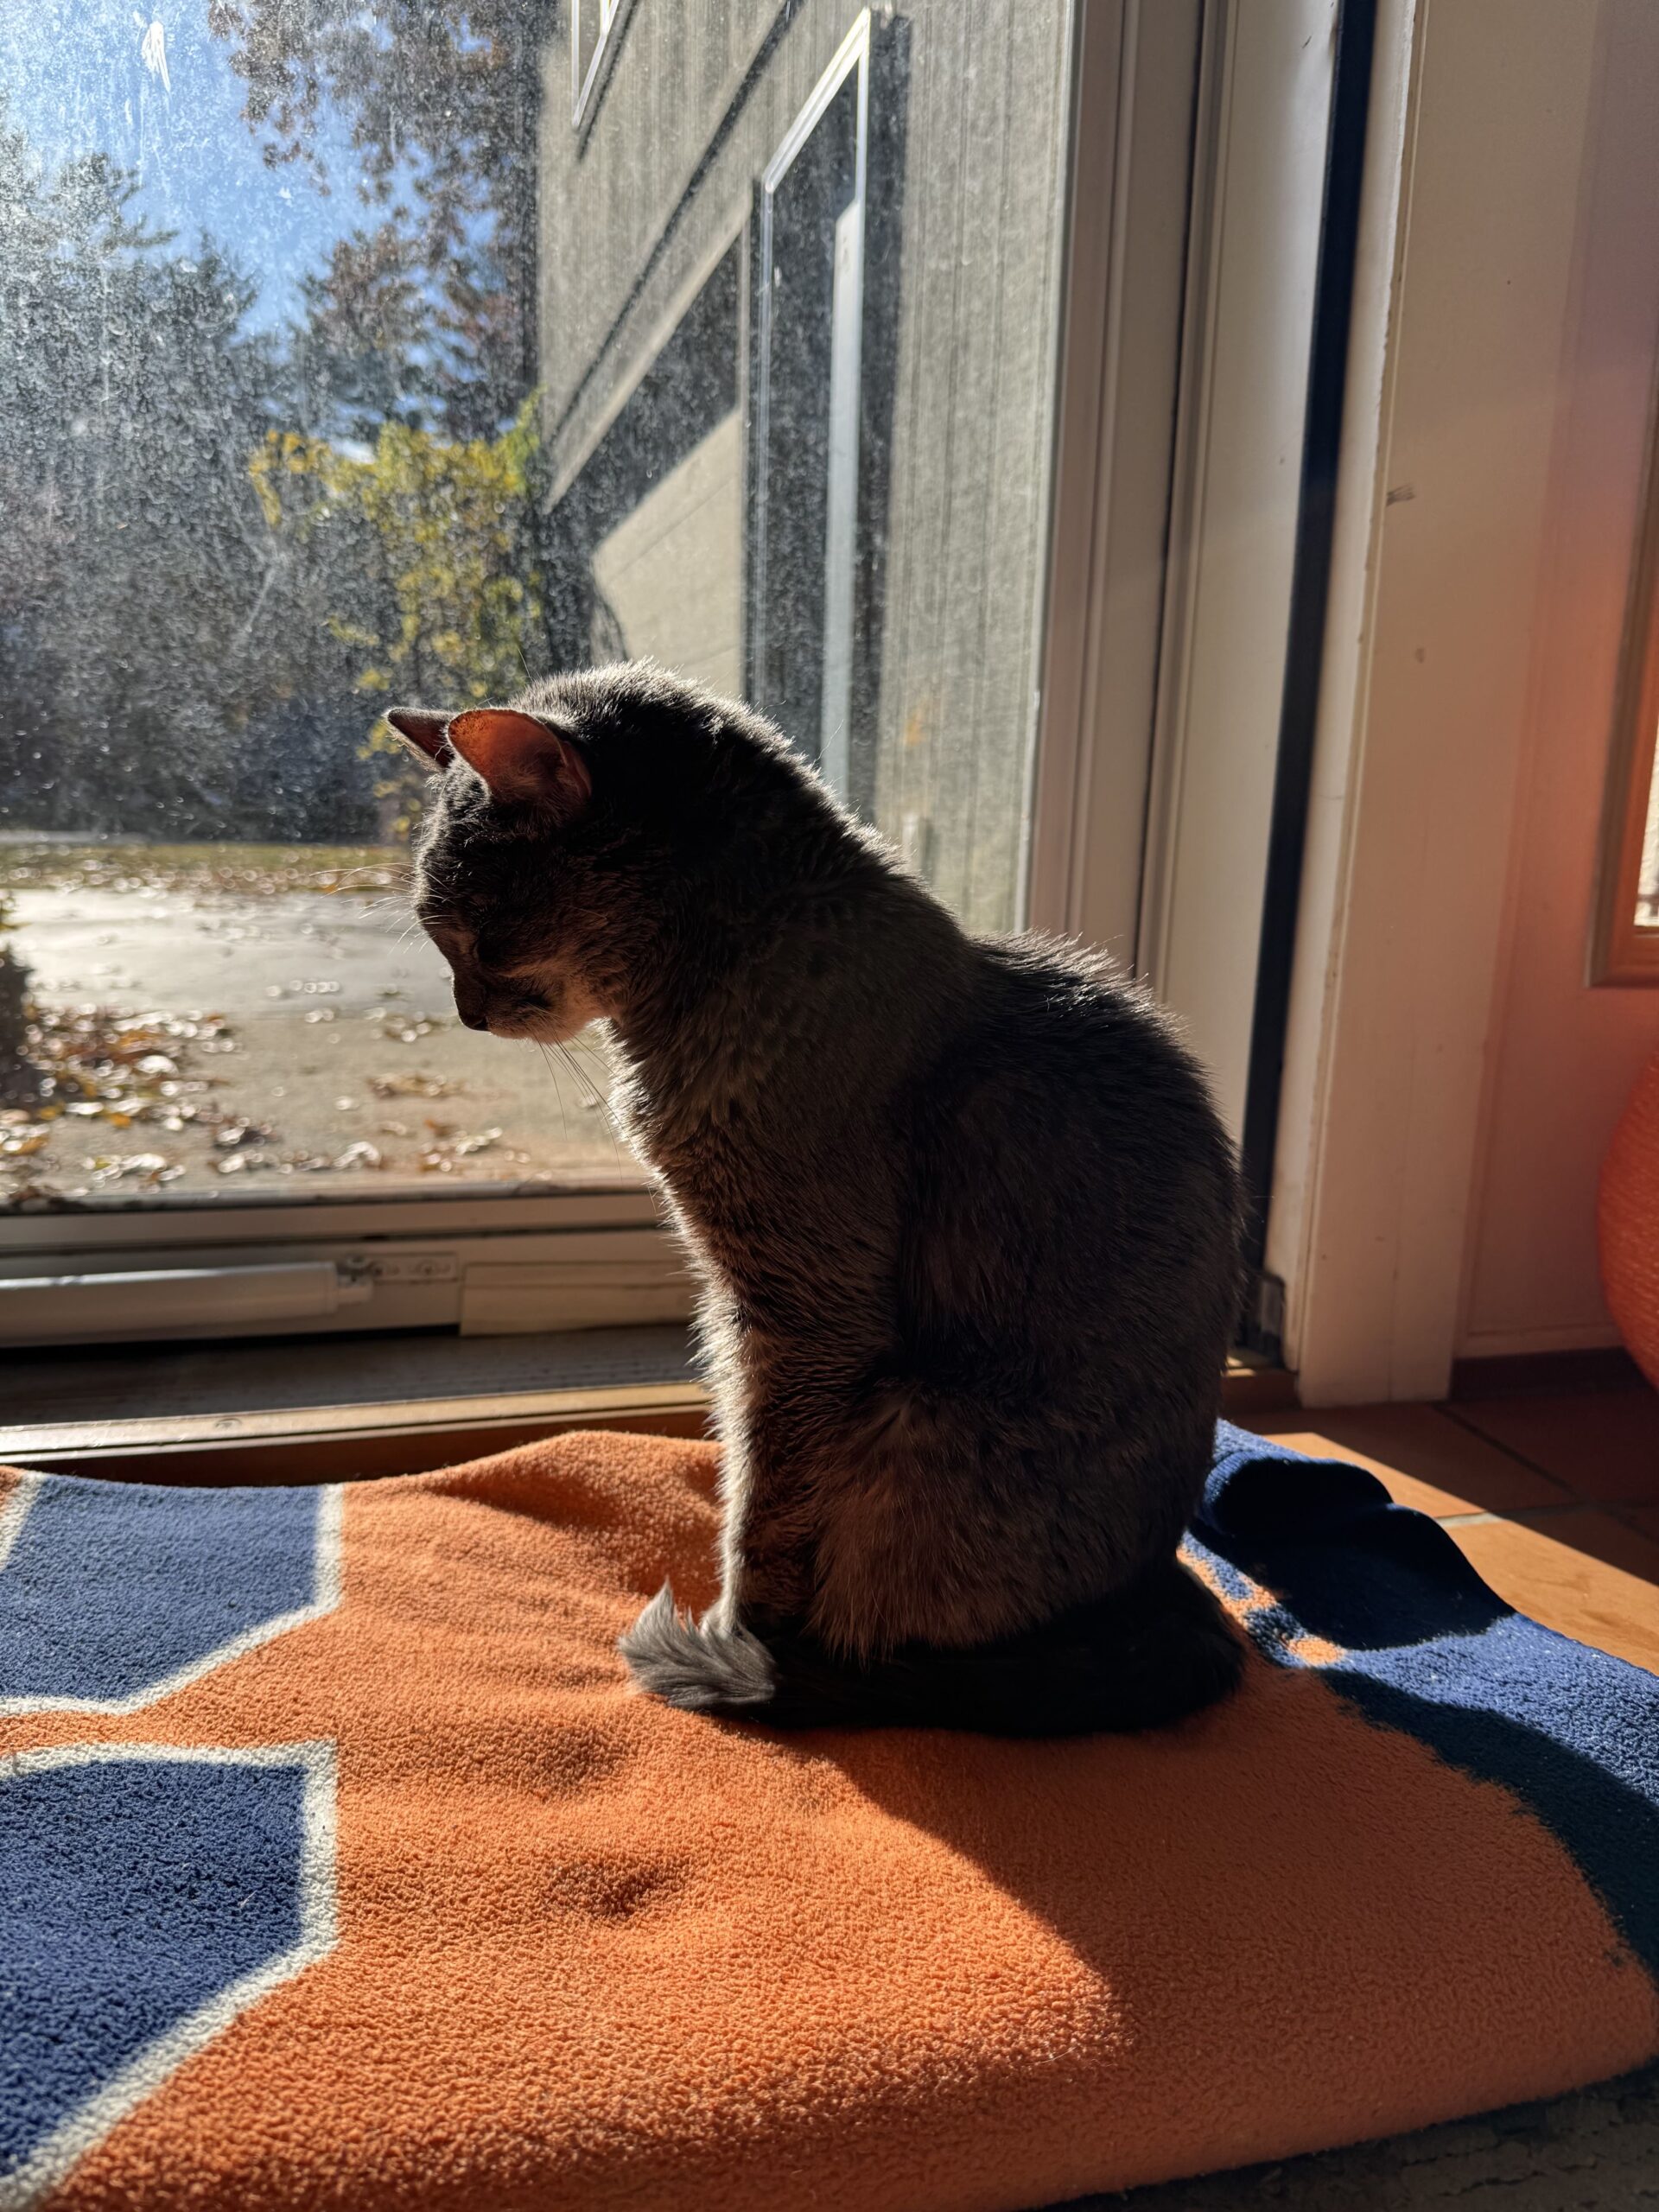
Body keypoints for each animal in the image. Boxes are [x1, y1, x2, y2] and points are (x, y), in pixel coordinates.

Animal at [391, 666, 1246, 1736]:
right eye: (440, 941)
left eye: (477, 936)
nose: (465, 1012)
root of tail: (1158, 1589)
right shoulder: (736, 1310)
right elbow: (738, 1463)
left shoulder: (801, 1312)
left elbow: (763, 1503)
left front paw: (745, 1638)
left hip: (913, 1425)